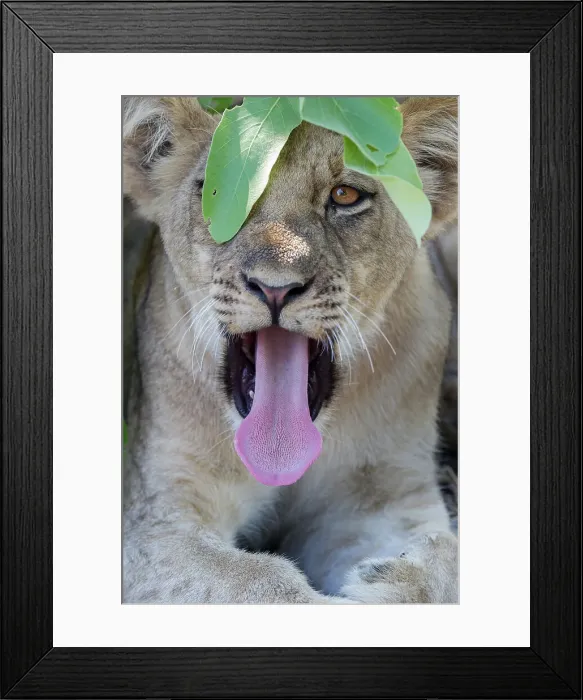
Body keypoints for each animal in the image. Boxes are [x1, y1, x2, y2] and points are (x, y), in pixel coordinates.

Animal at [122, 96, 459, 603]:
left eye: (345, 196)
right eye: (215, 192)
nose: (275, 289)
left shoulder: (390, 489)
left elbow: (444, 553)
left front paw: (390, 582)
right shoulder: (159, 516)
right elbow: (255, 580)